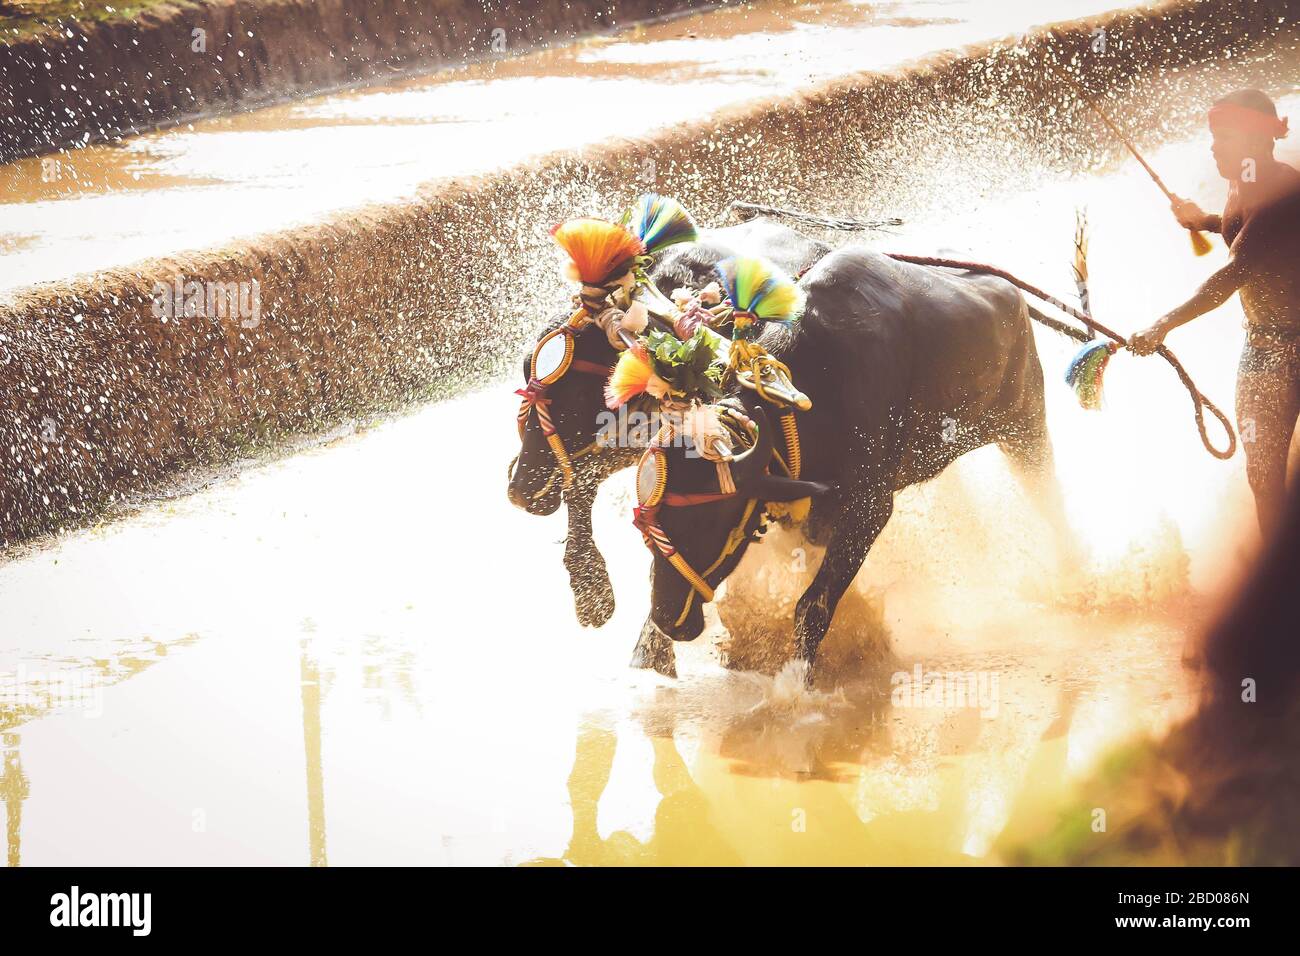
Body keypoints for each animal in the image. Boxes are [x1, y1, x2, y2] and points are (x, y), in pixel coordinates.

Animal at [639, 243, 1066, 671]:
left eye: (704, 524)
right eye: (651, 527)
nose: (667, 619)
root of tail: (1014, 298)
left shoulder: (870, 506)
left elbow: (812, 605)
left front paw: (797, 679)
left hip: (1026, 430)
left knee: (1048, 501)